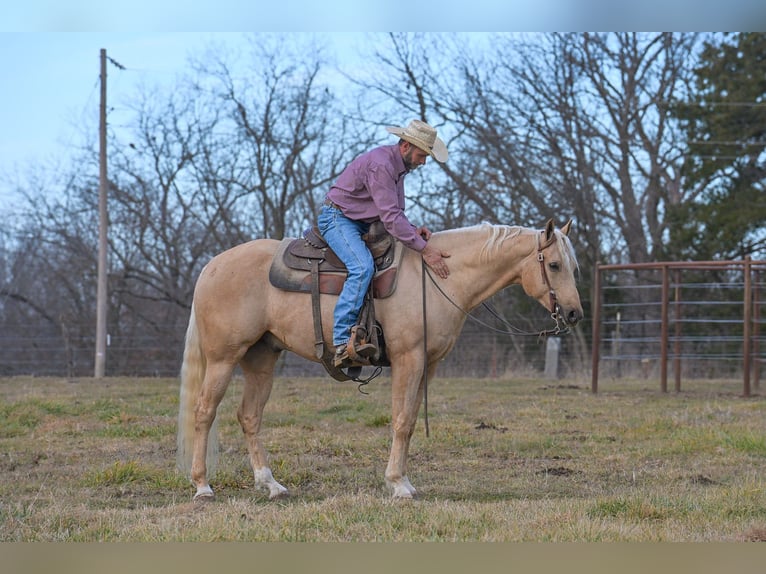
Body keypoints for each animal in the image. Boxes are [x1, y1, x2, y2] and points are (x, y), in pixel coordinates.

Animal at [176, 219, 583, 500]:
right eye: (555, 265)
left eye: (573, 266)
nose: (574, 313)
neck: (439, 278)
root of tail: (211, 266)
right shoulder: (408, 358)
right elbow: (401, 421)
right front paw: (398, 485)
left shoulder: (429, 366)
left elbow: (412, 420)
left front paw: (405, 481)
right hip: (223, 358)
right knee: (204, 412)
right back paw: (203, 486)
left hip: (261, 359)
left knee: (249, 416)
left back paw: (271, 484)